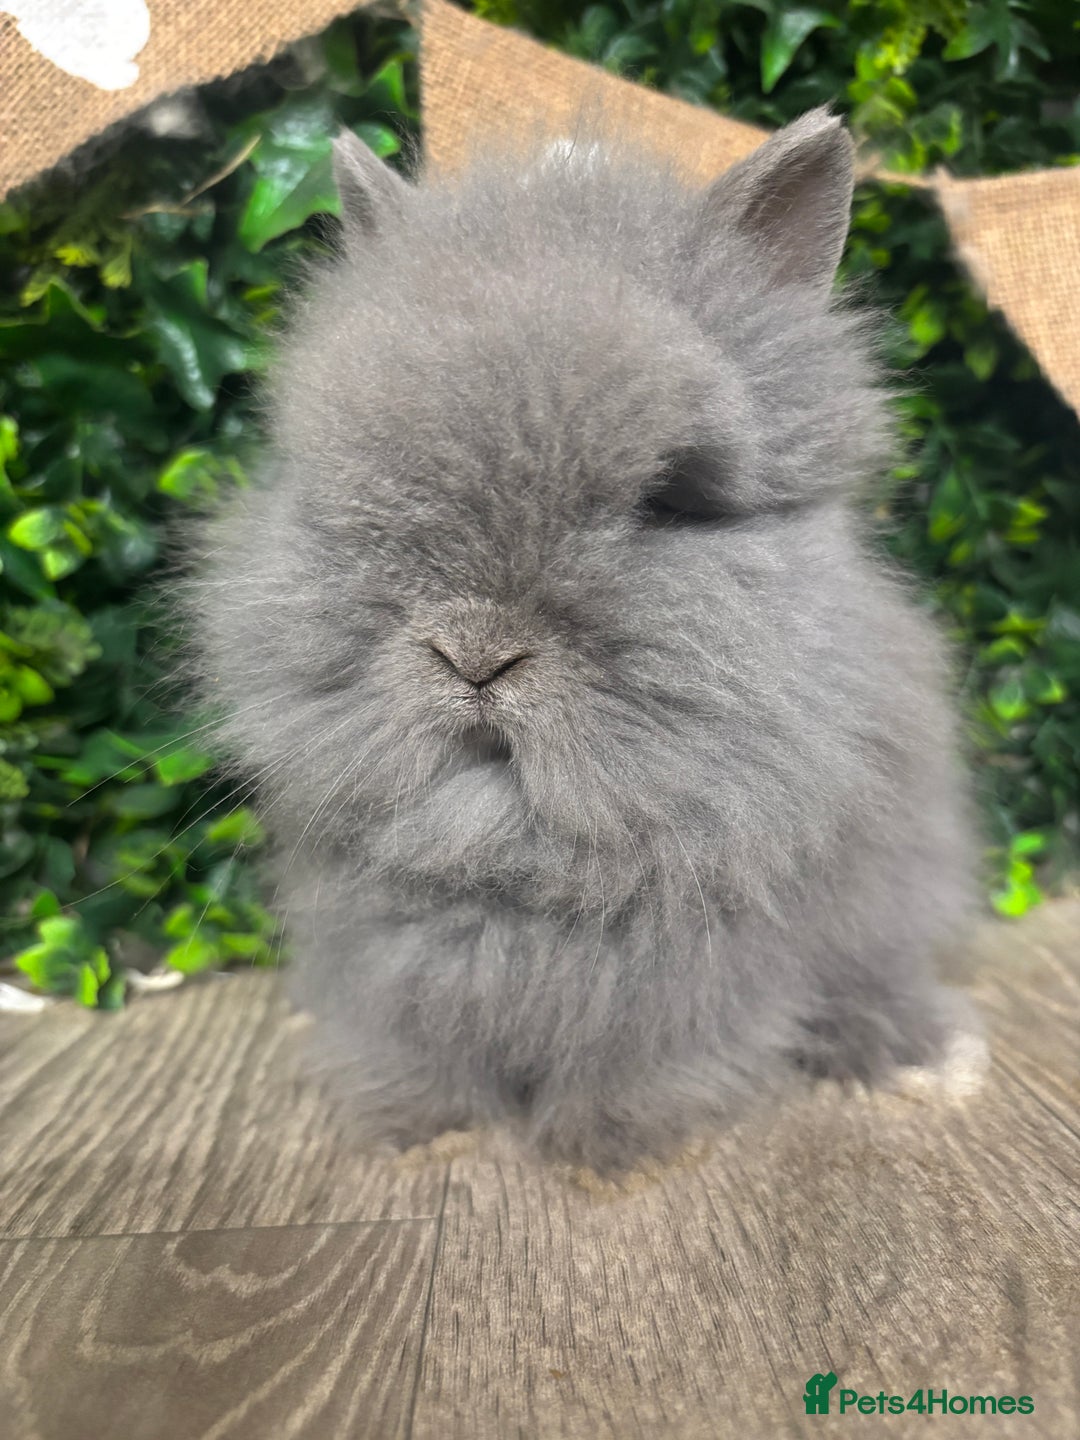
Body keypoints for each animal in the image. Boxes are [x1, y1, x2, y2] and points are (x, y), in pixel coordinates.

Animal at [182, 109, 982, 1174]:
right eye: (356, 489)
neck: (510, 853)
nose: (476, 654)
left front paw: (608, 1148)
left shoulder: (699, 982)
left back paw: (924, 1060)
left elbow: (657, 1058)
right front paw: (422, 1131)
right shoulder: (387, 969)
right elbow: (413, 1050)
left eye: (670, 499)